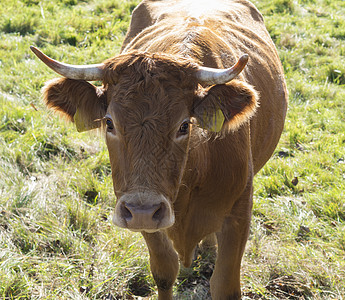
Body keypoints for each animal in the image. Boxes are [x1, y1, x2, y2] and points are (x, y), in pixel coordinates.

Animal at [30, 0, 286, 298]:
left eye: (184, 125)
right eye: (109, 122)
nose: (142, 209)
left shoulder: (238, 215)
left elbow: (224, 284)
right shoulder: (143, 216)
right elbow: (164, 273)